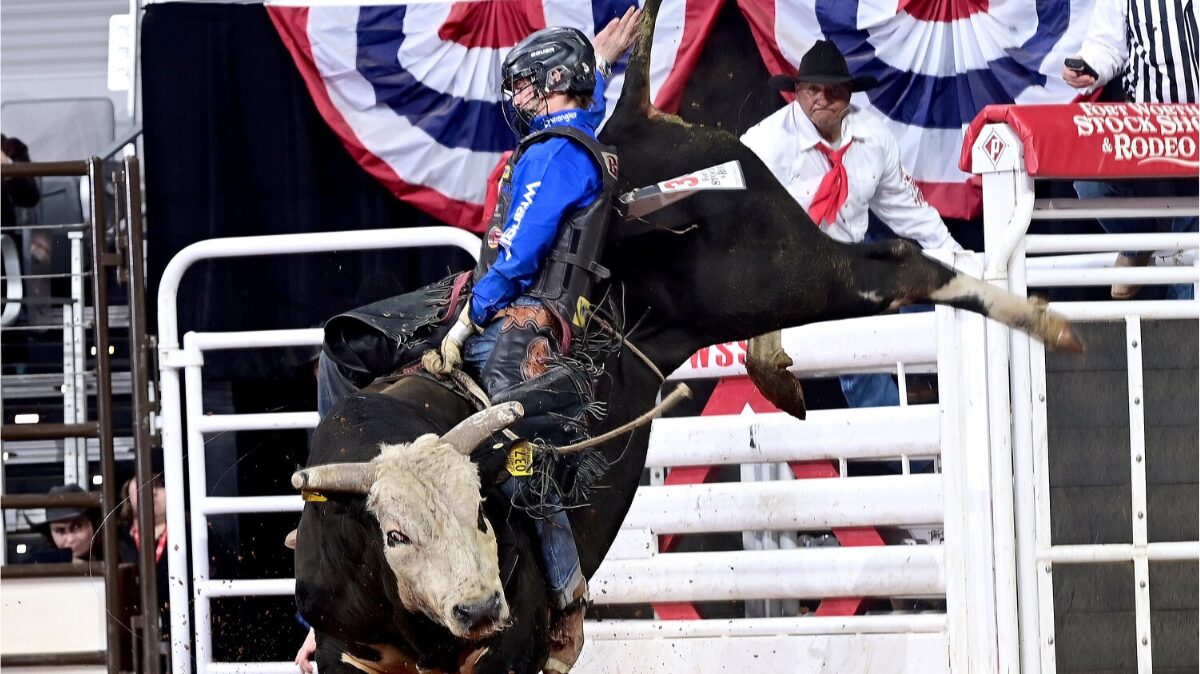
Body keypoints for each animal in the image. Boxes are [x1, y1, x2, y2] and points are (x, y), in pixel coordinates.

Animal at [295, 2, 1084, 666]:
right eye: (395, 533)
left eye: (484, 515)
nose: (477, 607)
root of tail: (637, 122)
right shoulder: (349, 652)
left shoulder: (508, 650)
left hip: (771, 270)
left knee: (894, 262)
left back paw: (1046, 322)